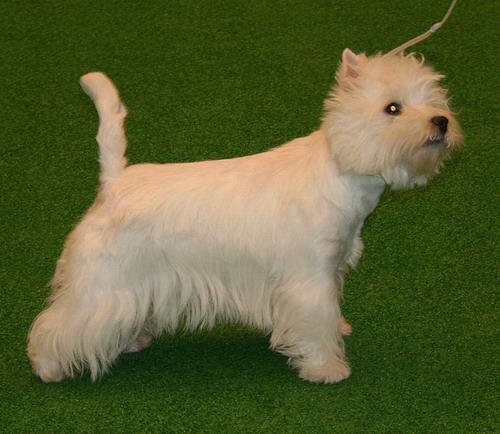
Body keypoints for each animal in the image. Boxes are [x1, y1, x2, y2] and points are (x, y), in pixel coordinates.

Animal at [28, 50, 460, 384]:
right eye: (393, 108)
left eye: (435, 99)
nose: (441, 121)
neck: (340, 170)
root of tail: (115, 181)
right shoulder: (308, 278)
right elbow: (315, 321)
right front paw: (327, 368)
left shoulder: (329, 268)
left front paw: (338, 331)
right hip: (104, 280)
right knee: (60, 324)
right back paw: (48, 367)